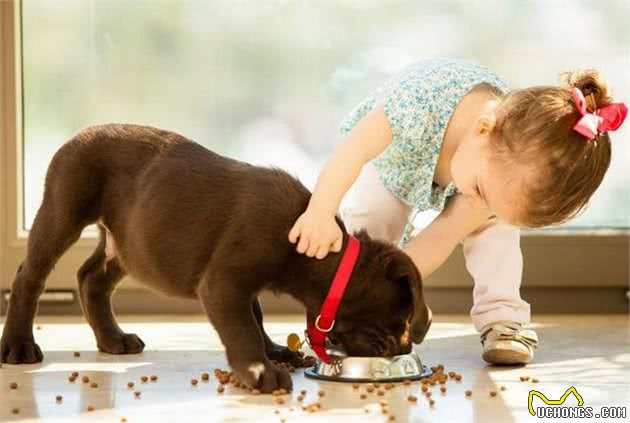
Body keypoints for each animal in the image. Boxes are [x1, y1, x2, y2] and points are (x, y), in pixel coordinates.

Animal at [0, 124, 432, 392]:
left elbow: (256, 316)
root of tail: (79, 133)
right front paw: (260, 370)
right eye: (399, 320)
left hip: (129, 243)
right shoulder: (225, 282)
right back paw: (18, 346)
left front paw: (273, 352)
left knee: (92, 278)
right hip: (63, 211)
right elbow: (242, 327)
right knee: (29, 277)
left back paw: (112, 339)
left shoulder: (242, 284)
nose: (401, 348)